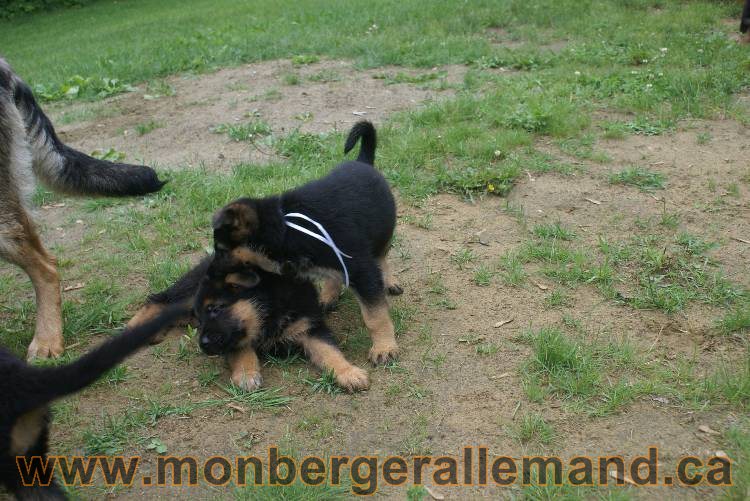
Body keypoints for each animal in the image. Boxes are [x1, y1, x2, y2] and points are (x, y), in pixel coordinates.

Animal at [128, 254, 372, 394]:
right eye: (205, 314)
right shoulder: (232, 336)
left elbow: (329, 350)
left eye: (215, 309)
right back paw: (133, 330)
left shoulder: (310, 326)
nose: (203, 346)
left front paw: (348, 372)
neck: (269, 311)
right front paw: (247, 374)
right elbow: (242, 350)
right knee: (158, 300)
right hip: (187, 295)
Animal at [210, 121, 406, 364]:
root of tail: (363, 161)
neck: (289, 226)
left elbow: (375, 315)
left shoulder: (362, 270)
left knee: (382, 257)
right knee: (335, 275)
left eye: (221, 250)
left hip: (382, 232)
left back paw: (388, 280)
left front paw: (384, 347)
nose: (208, 275)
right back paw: (328, 295)